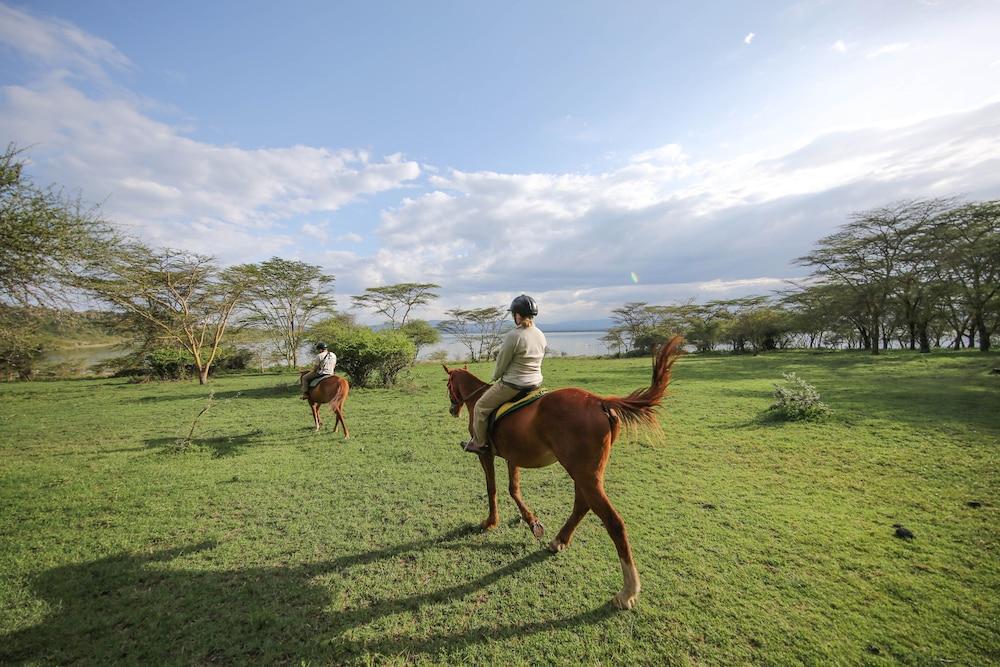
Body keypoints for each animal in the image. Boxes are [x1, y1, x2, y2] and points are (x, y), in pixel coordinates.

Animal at [446, 336, 688, 608]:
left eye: (448, 385)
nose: (452, 409)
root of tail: (599, 401)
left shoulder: (485, 454)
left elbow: (493, 488)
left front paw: (491, 522)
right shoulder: (513, 456)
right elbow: (513, 489)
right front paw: (532, 522)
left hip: (583, 473)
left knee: (613, 521)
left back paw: (627, 591)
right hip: (584, 472)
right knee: (582, 504)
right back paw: (558, 541)